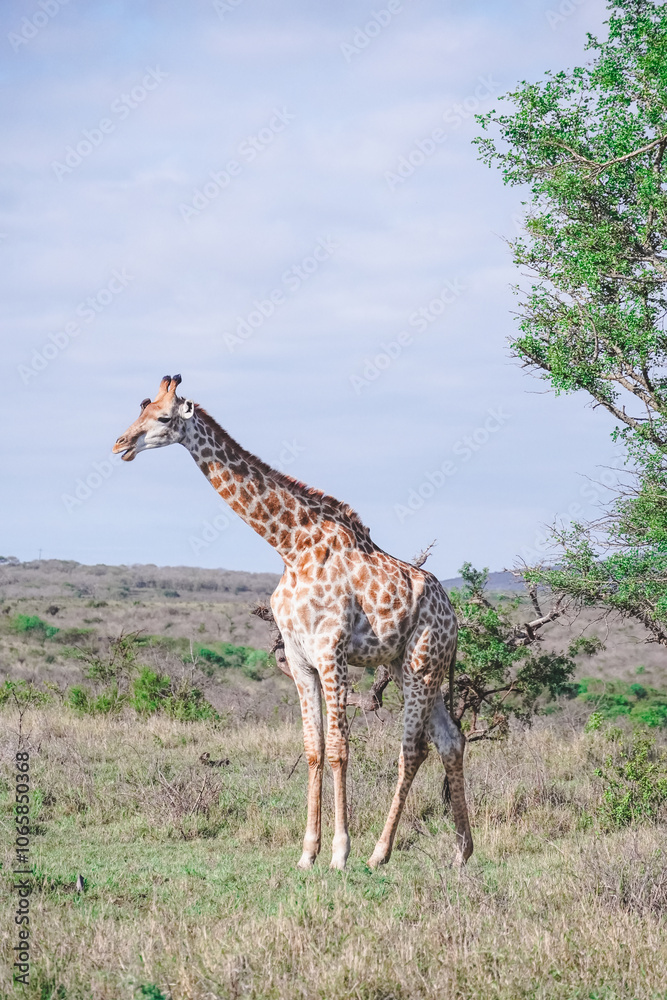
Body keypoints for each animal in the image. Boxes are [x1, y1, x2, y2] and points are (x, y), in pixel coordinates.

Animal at [113, 375, 473, 870]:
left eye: (164, 418)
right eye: (140, 410)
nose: (120, 444)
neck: (291, 547)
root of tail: (454, 615)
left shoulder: (331, 652)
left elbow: (339, 749)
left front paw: (340, 852)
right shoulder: (301, 659)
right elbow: (313, 750)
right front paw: (308, 852)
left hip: (422, 662)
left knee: (413, 748)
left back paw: (379, 853)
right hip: (407, 667)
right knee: (451, 739)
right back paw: (461, 853)